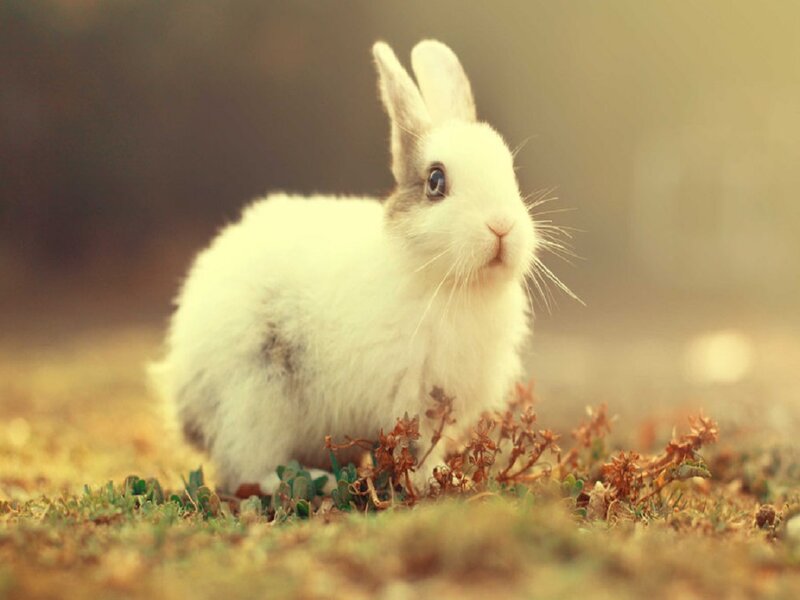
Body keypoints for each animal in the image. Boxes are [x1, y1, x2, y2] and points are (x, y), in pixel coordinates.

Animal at [150, 39, 540, 494]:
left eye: (509, 172)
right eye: (436, 182)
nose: (502, 227)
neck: (442, 280)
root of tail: (186, 397)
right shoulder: (410, 398)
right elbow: (417, 448)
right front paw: (431, 482)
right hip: (255, 399)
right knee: (251, 469)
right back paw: (320, 482)